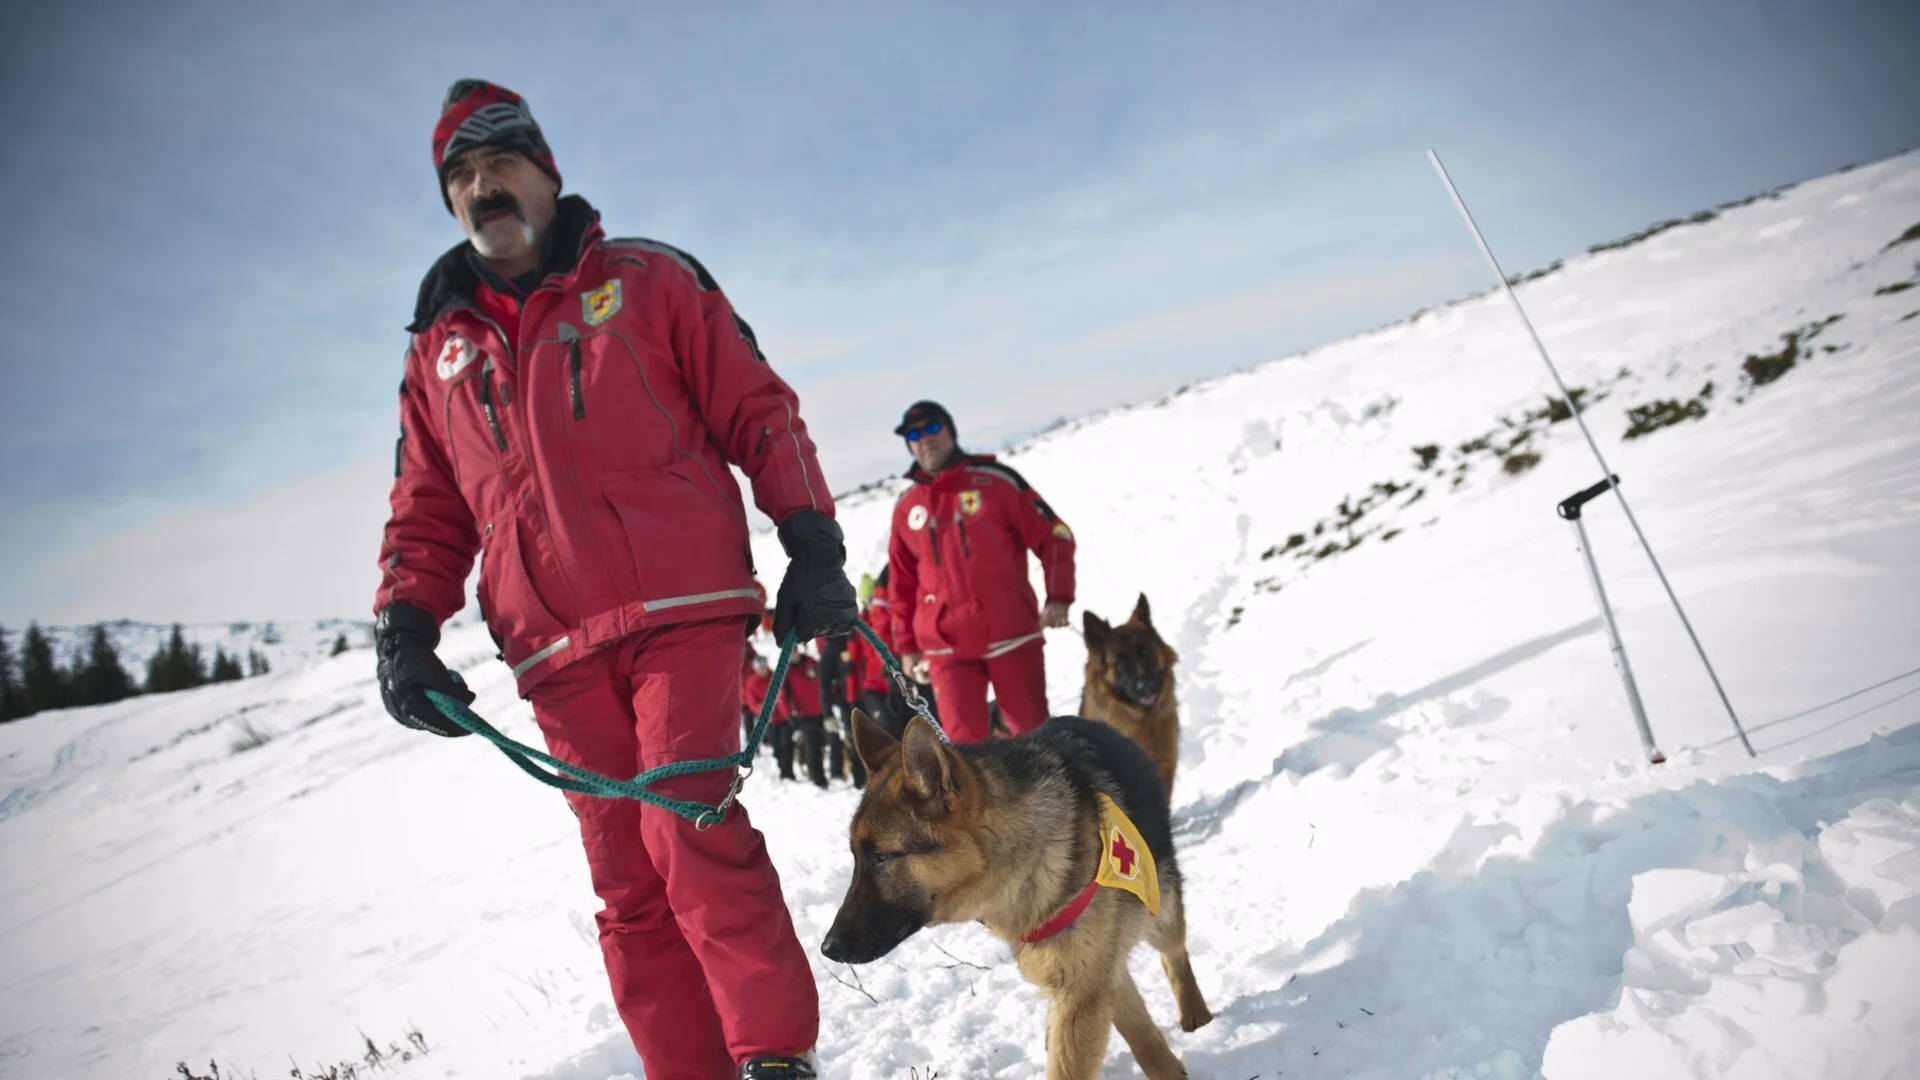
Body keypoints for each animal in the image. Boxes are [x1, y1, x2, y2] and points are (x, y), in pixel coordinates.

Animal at [821, 711, 1213, 1068]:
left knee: (1174, 953)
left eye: (882, 857)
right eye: (856, 857)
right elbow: (1137, 1033)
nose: (827, 948)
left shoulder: (1084, 986)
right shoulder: (1085, 979)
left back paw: (1196, 1013)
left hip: (1159, 906)